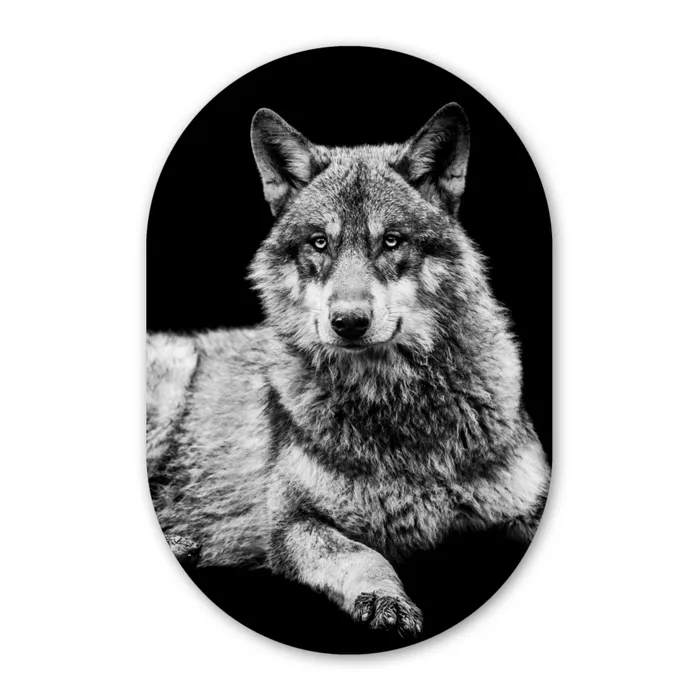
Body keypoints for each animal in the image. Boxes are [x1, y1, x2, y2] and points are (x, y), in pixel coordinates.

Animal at [147, 103, 550, 638]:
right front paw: (385, 599)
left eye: (391, 241)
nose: (349, 322)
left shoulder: (528, 503)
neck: (396, 406)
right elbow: (365, 555)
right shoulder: (292, 523)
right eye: (320, 243)